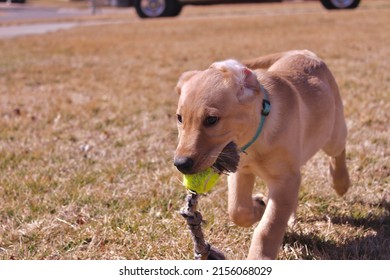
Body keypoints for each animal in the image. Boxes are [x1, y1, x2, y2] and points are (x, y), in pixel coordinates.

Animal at [174, 50, 350, 260]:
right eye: (179, 118)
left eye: (211, 120)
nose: (180, 164)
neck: (254, 140)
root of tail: (303, 52)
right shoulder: (241, 171)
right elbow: (237, 210)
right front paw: (259, 206)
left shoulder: (285, 179)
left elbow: (269, 226)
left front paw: (260, 257)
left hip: (332, 133)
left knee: (338, 150)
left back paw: (340, 182)